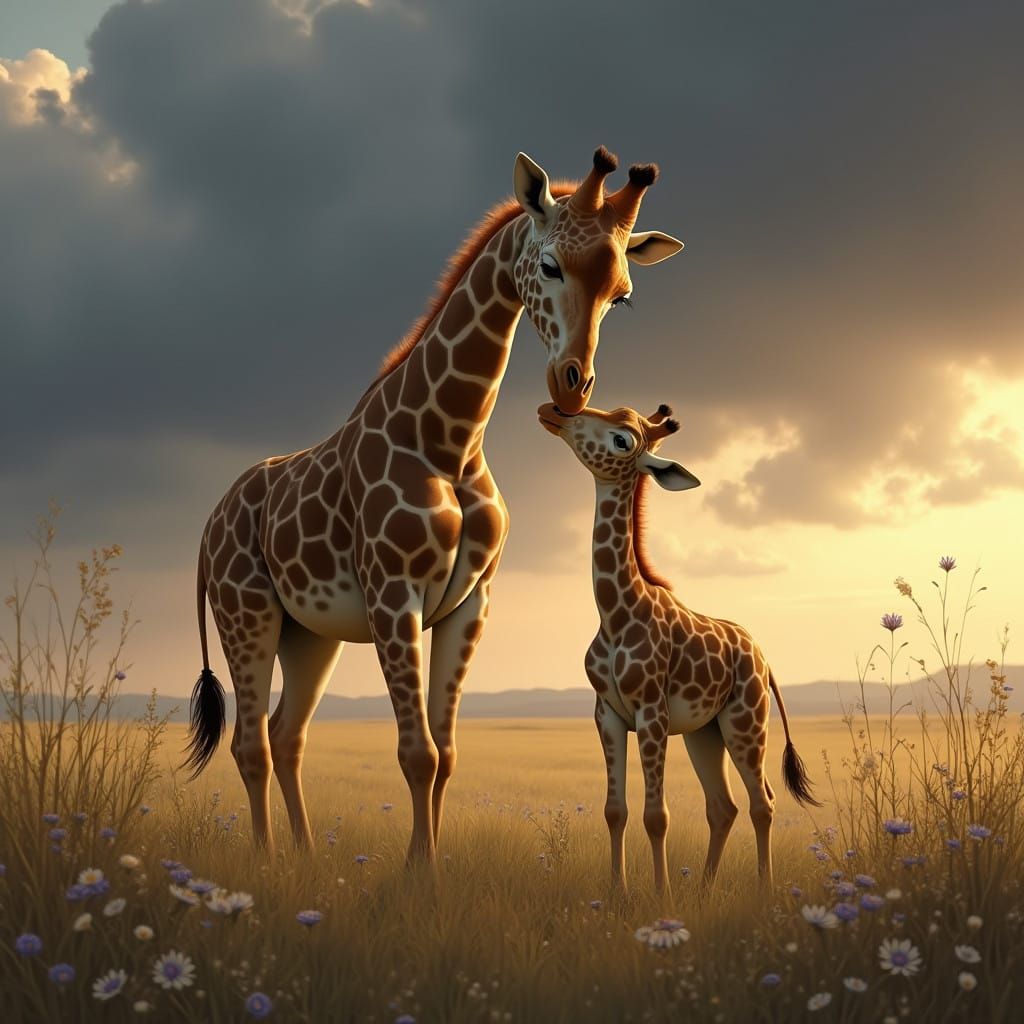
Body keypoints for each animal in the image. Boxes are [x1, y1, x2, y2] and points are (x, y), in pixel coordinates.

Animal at [184, 147, 685, 860]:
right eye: (549, 265)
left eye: (623, 295)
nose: (572, 383)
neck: (449, 441)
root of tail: (208, 523)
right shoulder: (396, 595)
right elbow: (416, 754)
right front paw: (417, 872)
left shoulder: (470, 602)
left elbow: (445, 755)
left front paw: (430, 865)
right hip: (245, 613)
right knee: (249, 742)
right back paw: (268, 861)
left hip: (308, 634)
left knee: (286, 734)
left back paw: (305, 859)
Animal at [538, 401, 820, 894]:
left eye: (623, 440)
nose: (557, 414)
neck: (615, 614)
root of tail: (764, 660)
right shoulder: (607, 714)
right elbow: (615, 811)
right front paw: (618, 892)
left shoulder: (651, 712)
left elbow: (657, 816)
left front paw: (662, 896)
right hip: (703, 732)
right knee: (723, 806)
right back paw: (704, 891)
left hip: (745, 722)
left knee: (762, 802)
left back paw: (764, 892)